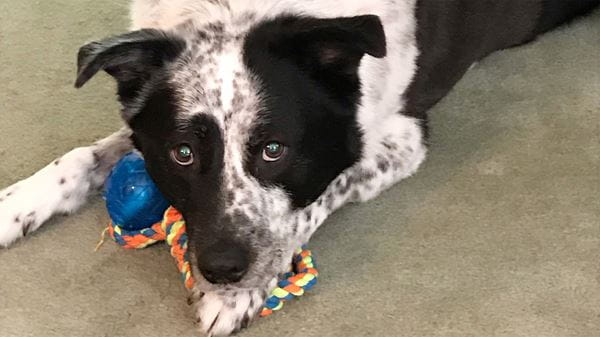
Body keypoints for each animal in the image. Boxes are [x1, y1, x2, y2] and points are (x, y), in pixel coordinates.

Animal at [0, 0, 596, 334]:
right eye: (182, 153)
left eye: (274, 150)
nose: (223, 269)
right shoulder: (147, 126)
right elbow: (87, 154)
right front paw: (17, 203)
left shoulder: (401, 139)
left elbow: (310, 200)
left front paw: (235, 296)